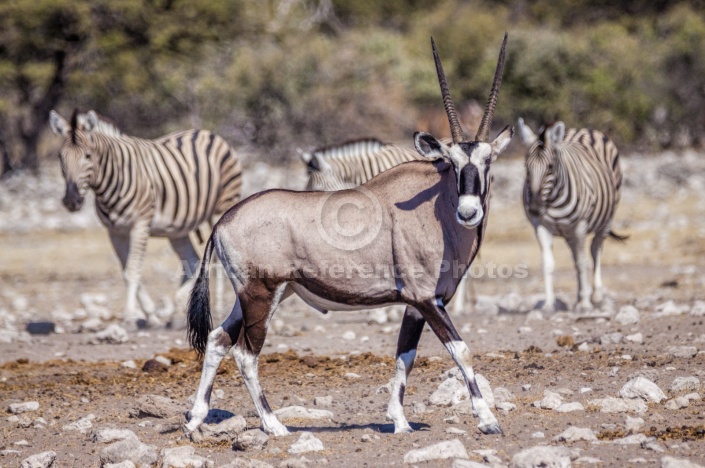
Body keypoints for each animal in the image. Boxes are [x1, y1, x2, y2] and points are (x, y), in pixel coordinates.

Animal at [48, 109, 242, 330]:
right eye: (60, 157)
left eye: (88, 156)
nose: (71, 201)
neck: (112, 179)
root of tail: (208, 133)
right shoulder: (115, 232)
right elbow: (126, 272)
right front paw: (150, 315)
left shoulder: (140, 225)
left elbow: (133, 271)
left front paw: (130, 318)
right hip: (177, 229)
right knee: (192, 261)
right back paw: (178, 313)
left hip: (223, 206)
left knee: (218, 258)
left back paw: (218, 310)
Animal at [516, 119, 624, 312]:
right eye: (526, 167)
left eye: (550, 167)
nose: (535, 208)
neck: (552, 199)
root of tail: (585, 130)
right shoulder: (541, 226)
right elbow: (548, 264)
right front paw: (548, 304)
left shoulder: (580, 226)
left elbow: (583, 263)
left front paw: (585, 304)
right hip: (569, 234)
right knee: (577, 257)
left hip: (606, 220)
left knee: (595, 251)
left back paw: (596, 296)